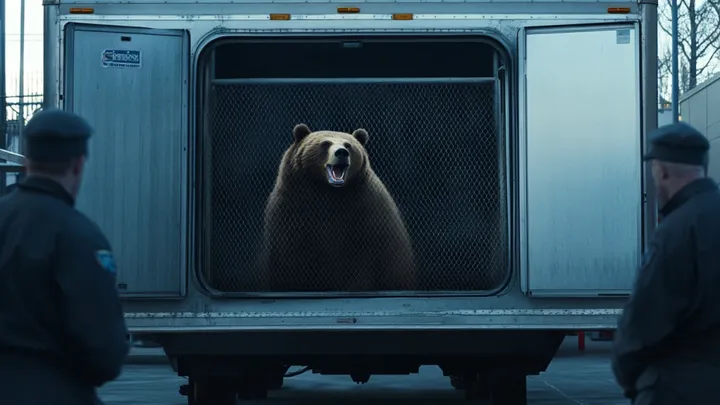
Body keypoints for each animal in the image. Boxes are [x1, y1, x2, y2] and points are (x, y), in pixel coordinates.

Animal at [257, 123, 416, 292]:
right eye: (325, 143)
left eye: (348, 145)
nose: (341, 152)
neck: (330, 193)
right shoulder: (292, 209)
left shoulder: (367, 210)